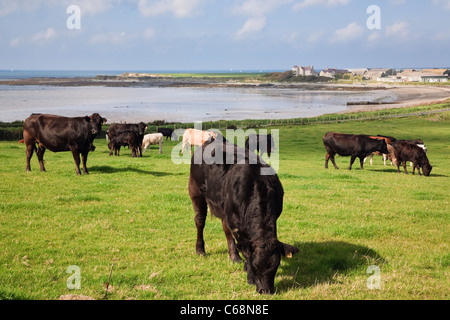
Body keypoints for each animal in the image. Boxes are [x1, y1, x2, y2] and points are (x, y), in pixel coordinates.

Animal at [187, 139, 298, 294]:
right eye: (256, 266)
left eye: (275, 266)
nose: (266, 290)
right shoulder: (237, 225)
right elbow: (245, 250)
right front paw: (249, 275)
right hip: (196, 193)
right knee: (200, 221)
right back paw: (200, 249)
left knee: (226, 231)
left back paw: (234, 256)